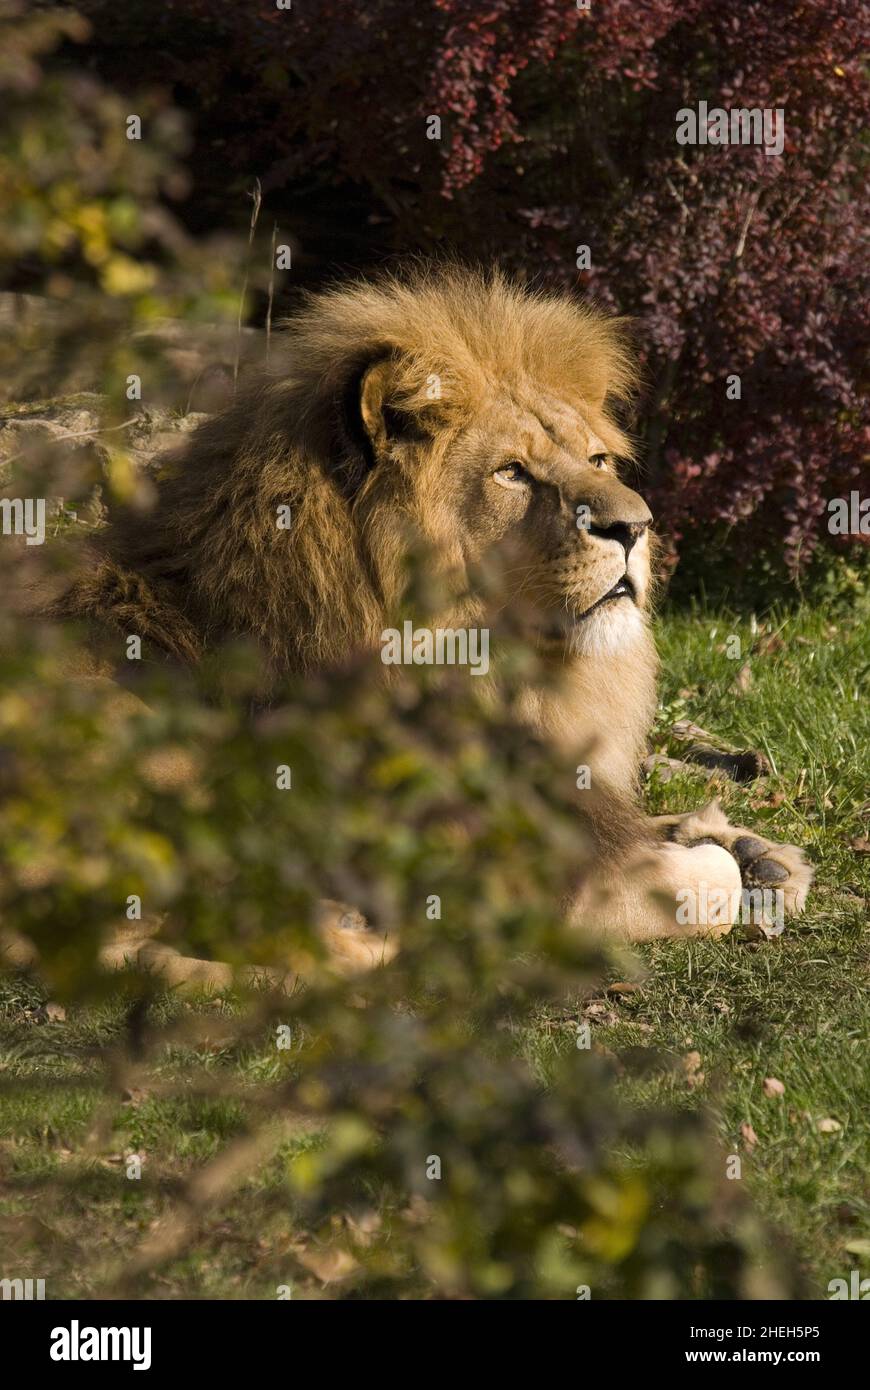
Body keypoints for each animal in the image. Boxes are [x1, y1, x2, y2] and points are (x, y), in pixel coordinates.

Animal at [24, 265, 811, 985]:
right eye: (512, 473)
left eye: (596, 459)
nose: (637, 527)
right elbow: (699, 883)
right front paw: (724, 864)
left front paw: (757, 853)